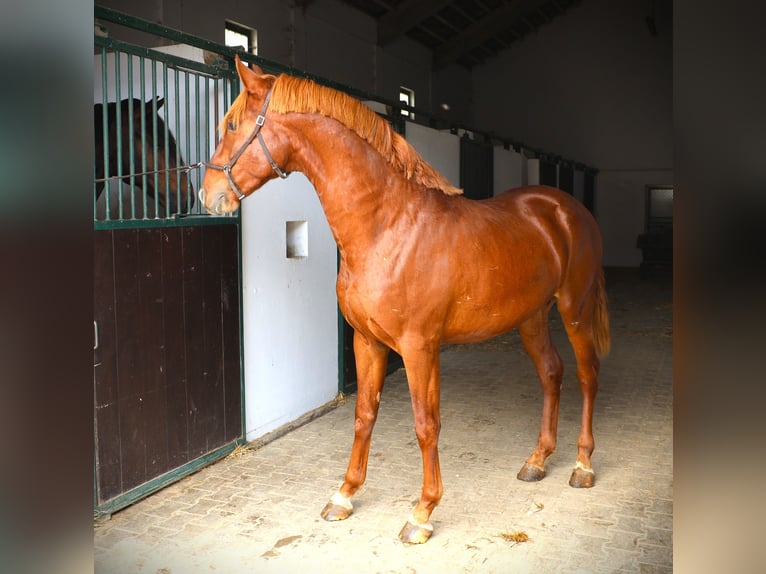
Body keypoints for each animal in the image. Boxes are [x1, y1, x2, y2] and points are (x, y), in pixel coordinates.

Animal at [200, 57, 612, 544]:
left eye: (231, 125)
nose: (208, 194)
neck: (388, 225)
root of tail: (568, 208)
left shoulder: (419, 347)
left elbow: (425, 423)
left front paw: (422, 512)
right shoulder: (367, 341)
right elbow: (364, 415)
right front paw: (344, 495)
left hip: (574, 309)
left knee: (587, 375)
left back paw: (583, 465)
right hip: (530, 317)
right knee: (552, 373)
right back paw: (536, 460)